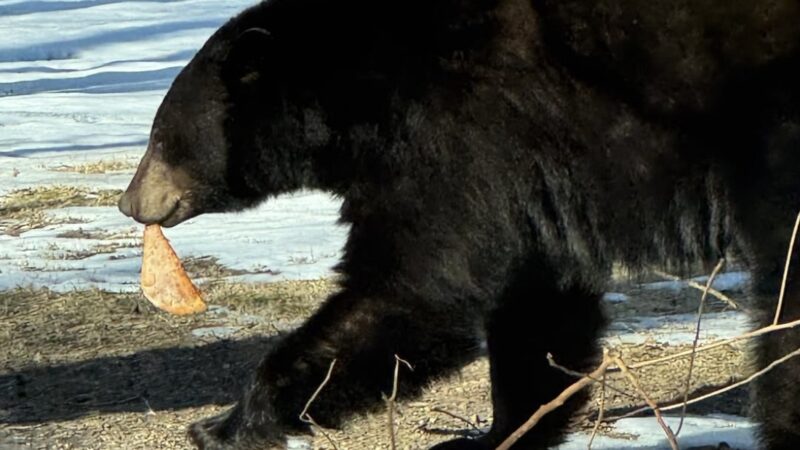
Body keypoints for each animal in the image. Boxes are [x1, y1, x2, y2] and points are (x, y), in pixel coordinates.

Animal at [119, 0, 800, 448]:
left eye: (161, 134)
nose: (128, 202)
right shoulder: (527, 174)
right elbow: (536, 304)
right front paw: (503, 432)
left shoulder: (460, 134)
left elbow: (413, 290)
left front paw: (224, 423)